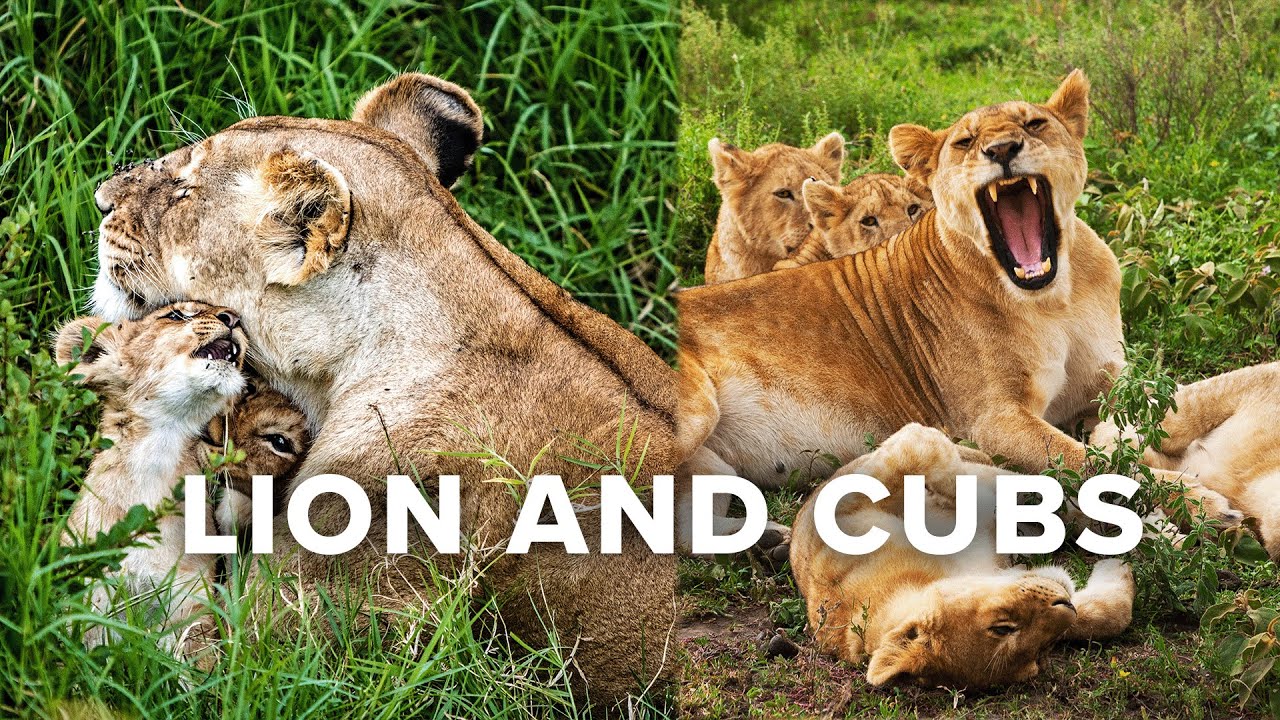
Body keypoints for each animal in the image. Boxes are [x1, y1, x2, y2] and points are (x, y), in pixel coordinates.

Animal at [56, 302, 248, 655]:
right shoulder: (87, 588)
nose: (234, 318)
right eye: (176, 315)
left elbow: (197, 654)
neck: (159, 448)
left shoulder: (191, 597)